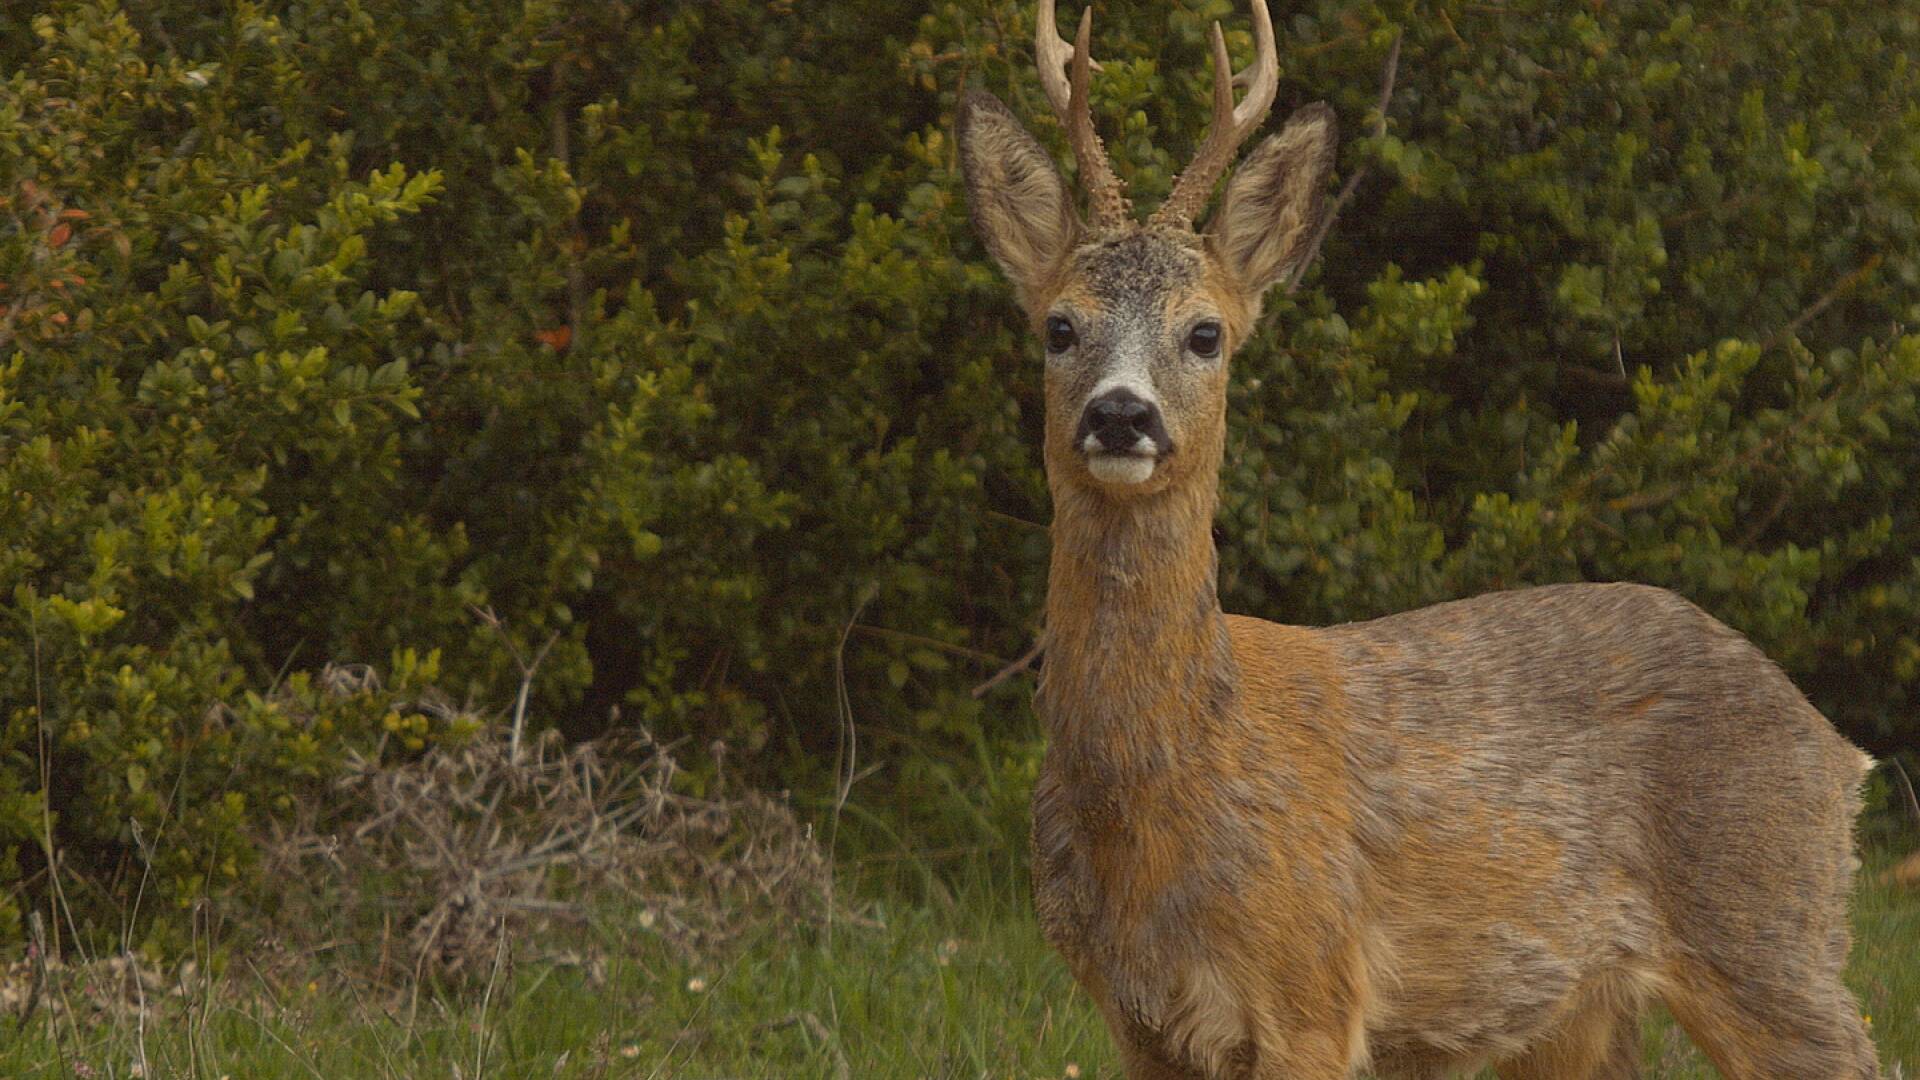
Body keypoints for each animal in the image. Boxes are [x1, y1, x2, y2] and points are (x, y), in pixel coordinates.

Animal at [952, 4, 1881, 1068]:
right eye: (1059, 327)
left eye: (1206, 333)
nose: (1119, 415)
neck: (1160, 787)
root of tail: (1833, 752)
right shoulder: (1135, 1018)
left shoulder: (1311, 989)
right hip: (1587, 1011)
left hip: (1769, 928)